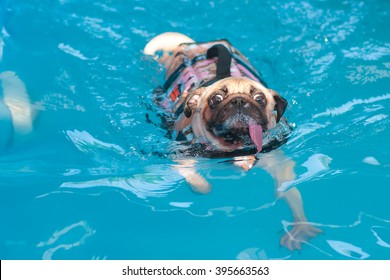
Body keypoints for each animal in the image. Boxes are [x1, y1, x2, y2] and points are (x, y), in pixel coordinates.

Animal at [143, 32, 320, 249]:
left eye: (259, 99)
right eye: (216, 99)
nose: (239, 100)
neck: (235, 147)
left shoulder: (279, 165)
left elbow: (287, 189)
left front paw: (300, 226)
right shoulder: (180, 156)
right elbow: (197, 181)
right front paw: (201, 187)